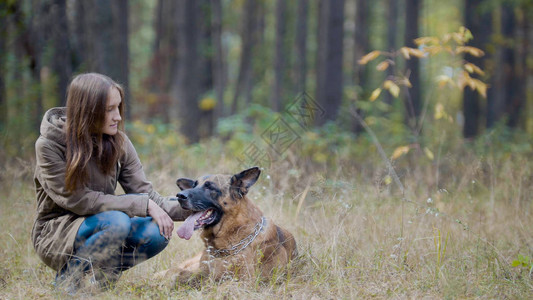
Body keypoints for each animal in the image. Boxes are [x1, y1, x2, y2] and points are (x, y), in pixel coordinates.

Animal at [160, 166, 298, 286]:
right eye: (194, 185)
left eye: (210, 187)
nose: (179, 196)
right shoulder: (201, 273)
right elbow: (176, 273)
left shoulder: (245, 280)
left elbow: (222, 286)